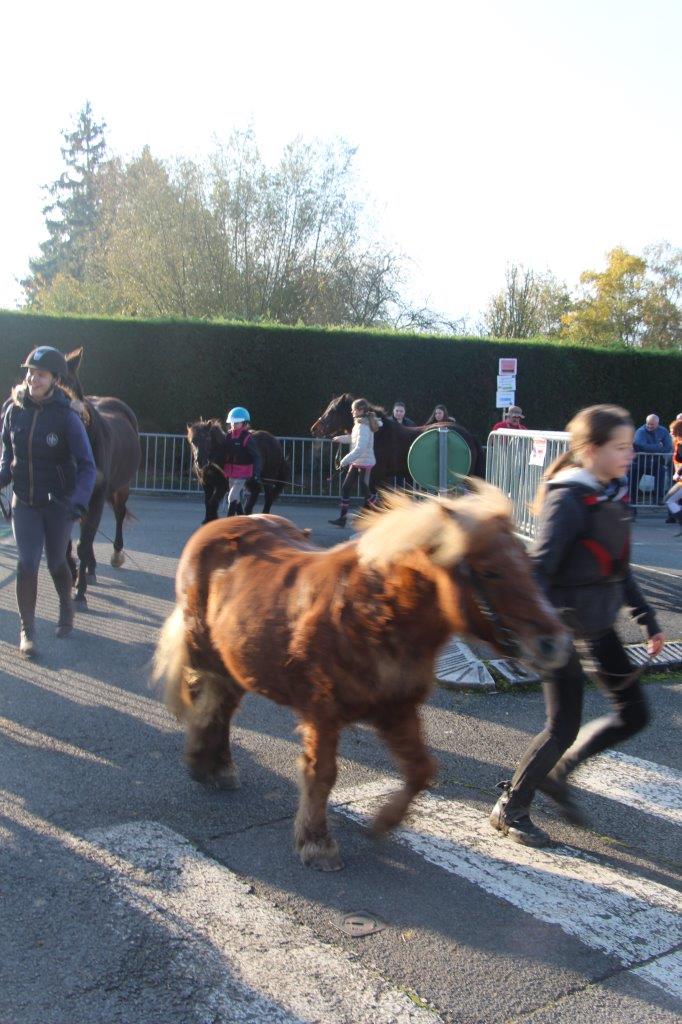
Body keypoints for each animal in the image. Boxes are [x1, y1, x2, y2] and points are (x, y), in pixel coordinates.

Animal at [153, 483, 569, 868]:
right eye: (490, 571)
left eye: (529, 565)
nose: (555, 642)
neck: (373, 614)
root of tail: (219, 526)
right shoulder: (322, 716)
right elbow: (322, 774)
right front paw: (316, 843)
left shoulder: (397, 711)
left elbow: (421, 770)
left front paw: (383, 822)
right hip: (207, 655)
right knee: (206, 702)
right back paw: (203, 761)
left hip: (238, 664)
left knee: (222, 707)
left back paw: (219, 766)